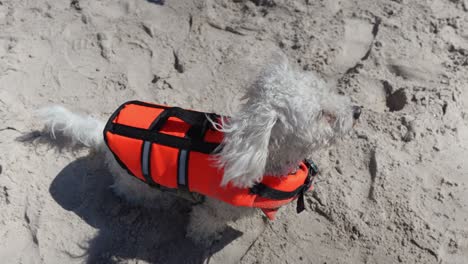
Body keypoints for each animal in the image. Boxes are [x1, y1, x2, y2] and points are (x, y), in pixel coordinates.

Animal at [41, 60, 362, 245]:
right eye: (324, 115)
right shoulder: (213, 211)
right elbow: (203, 226)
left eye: (328, 90)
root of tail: (102, 135)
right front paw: (204, 240)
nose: (358, 111)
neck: (265, 157)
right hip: (141, 185)